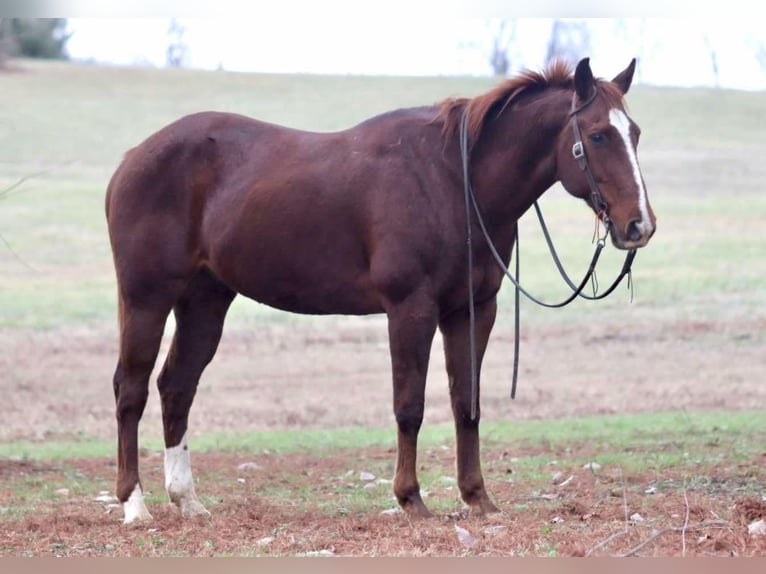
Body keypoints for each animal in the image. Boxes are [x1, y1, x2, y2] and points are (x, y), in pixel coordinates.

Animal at [105, 57, 656, 524]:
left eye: (634, 132)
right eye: (598, 135)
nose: (639, 225)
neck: (454, 181)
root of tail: (131, 159)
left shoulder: (473, 310)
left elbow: (467, 402)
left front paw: (477, 498)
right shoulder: (411, 308)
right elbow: (409, 406)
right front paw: (411, 499)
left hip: (204, 301)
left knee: (176, 386)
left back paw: (187, 501)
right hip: (146, 299)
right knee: (131, 389)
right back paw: (135, 504)